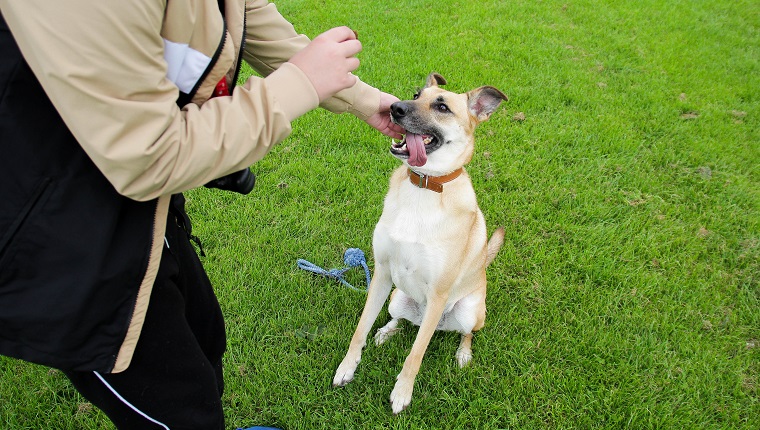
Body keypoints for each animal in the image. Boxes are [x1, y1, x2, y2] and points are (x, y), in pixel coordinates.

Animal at [334, 74, 508, 414]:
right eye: (416, 95)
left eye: (442, 107)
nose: (394, 108)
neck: (424, 186)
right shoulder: (381, 273)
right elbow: (360, 329)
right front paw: (348, 367)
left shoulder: (439, 293)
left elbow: (415, 354)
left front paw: (402, 393)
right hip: (396, 297)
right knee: (402, 320)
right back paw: (386, 331)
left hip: (469, 311)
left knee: (465, 334)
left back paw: (463, 354)